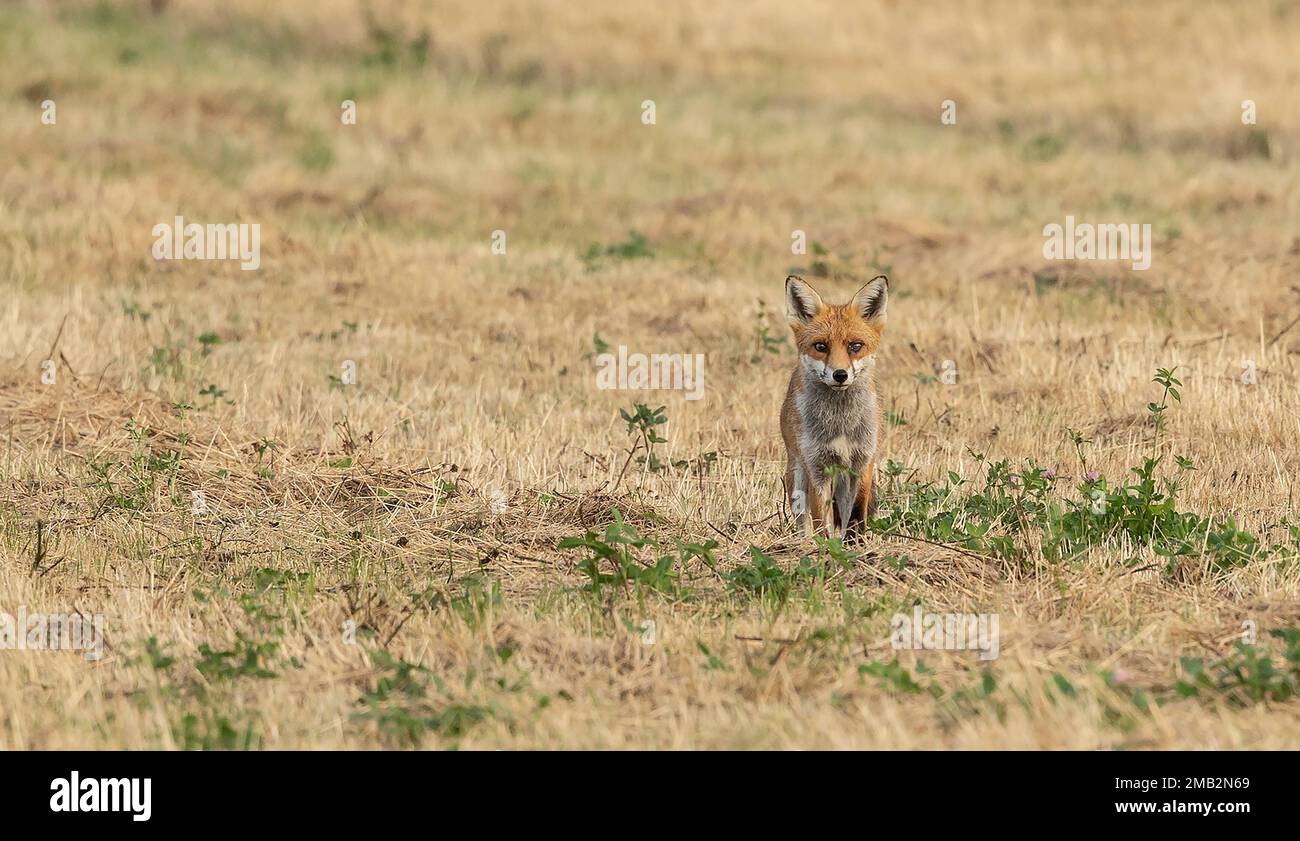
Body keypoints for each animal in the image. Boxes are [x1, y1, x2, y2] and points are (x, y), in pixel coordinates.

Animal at [780, 273, 889, 539]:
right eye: (821, 346)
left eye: (855, 346)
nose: (840, 375)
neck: (841, 423)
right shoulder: (816, 466)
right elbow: (821, 518)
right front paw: (825, 545)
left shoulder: (863, 461)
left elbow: (857, 512)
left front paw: (855, 542)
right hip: (796, 474)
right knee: (802, 519)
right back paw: (801, 541)